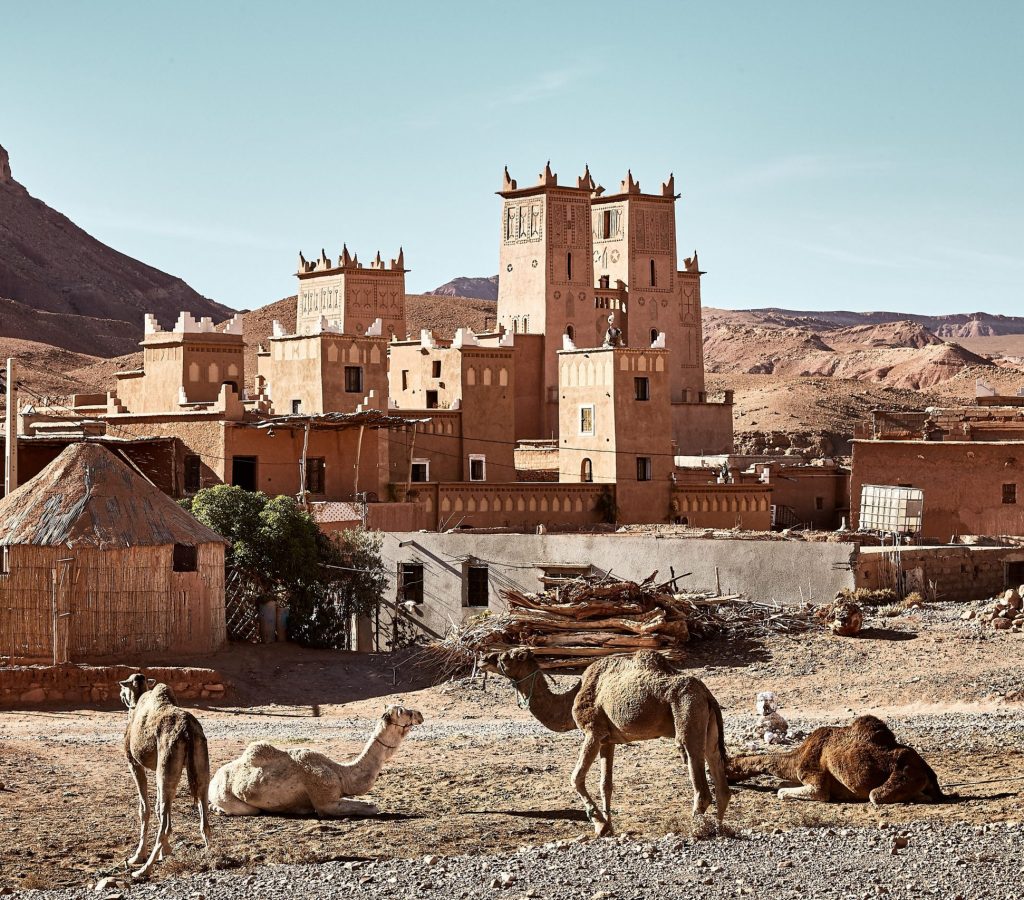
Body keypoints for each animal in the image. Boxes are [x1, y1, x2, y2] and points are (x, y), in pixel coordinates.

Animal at [117, 675, 209, 880]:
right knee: (204, 815)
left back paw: (143, 870)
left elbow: (145, 809)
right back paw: (213, 855)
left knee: (167, 824)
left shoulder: (134, 763)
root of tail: (187, 730)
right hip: (200, 762)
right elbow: (159, 808)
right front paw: (165, 853)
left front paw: (138, 856)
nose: (120, 694)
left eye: (124, 684)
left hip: (165, 765)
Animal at [479, 647, 729, 839]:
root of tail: (707, 694)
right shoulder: (609, 740)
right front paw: (609, 826)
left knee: (700, 782)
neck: (572, 697)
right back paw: (717, 828)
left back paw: (696, 830)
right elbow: (605, 784)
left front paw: (598, 824)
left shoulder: (593, 731)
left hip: (688, 714)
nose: (483, 658)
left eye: (506, 656)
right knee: (719, 775)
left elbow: (576, 777)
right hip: (708, 726)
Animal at [729, 712, 942, 806]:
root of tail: (927, 770)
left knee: (875, 795)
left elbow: (784, 791)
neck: (797, 757)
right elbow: (783, 784)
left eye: (729, 770)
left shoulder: (815, 778)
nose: (729, 781)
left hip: (902, 775)